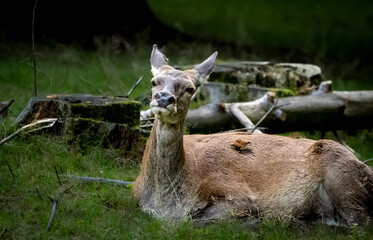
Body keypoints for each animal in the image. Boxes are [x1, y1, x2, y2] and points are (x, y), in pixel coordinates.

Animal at [131, 45, 372, 227]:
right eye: (154, 82)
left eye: (190, 89)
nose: (164, 98)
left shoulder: (240, 196)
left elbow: (197, 219)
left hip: (344, 180)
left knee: (359, 223)